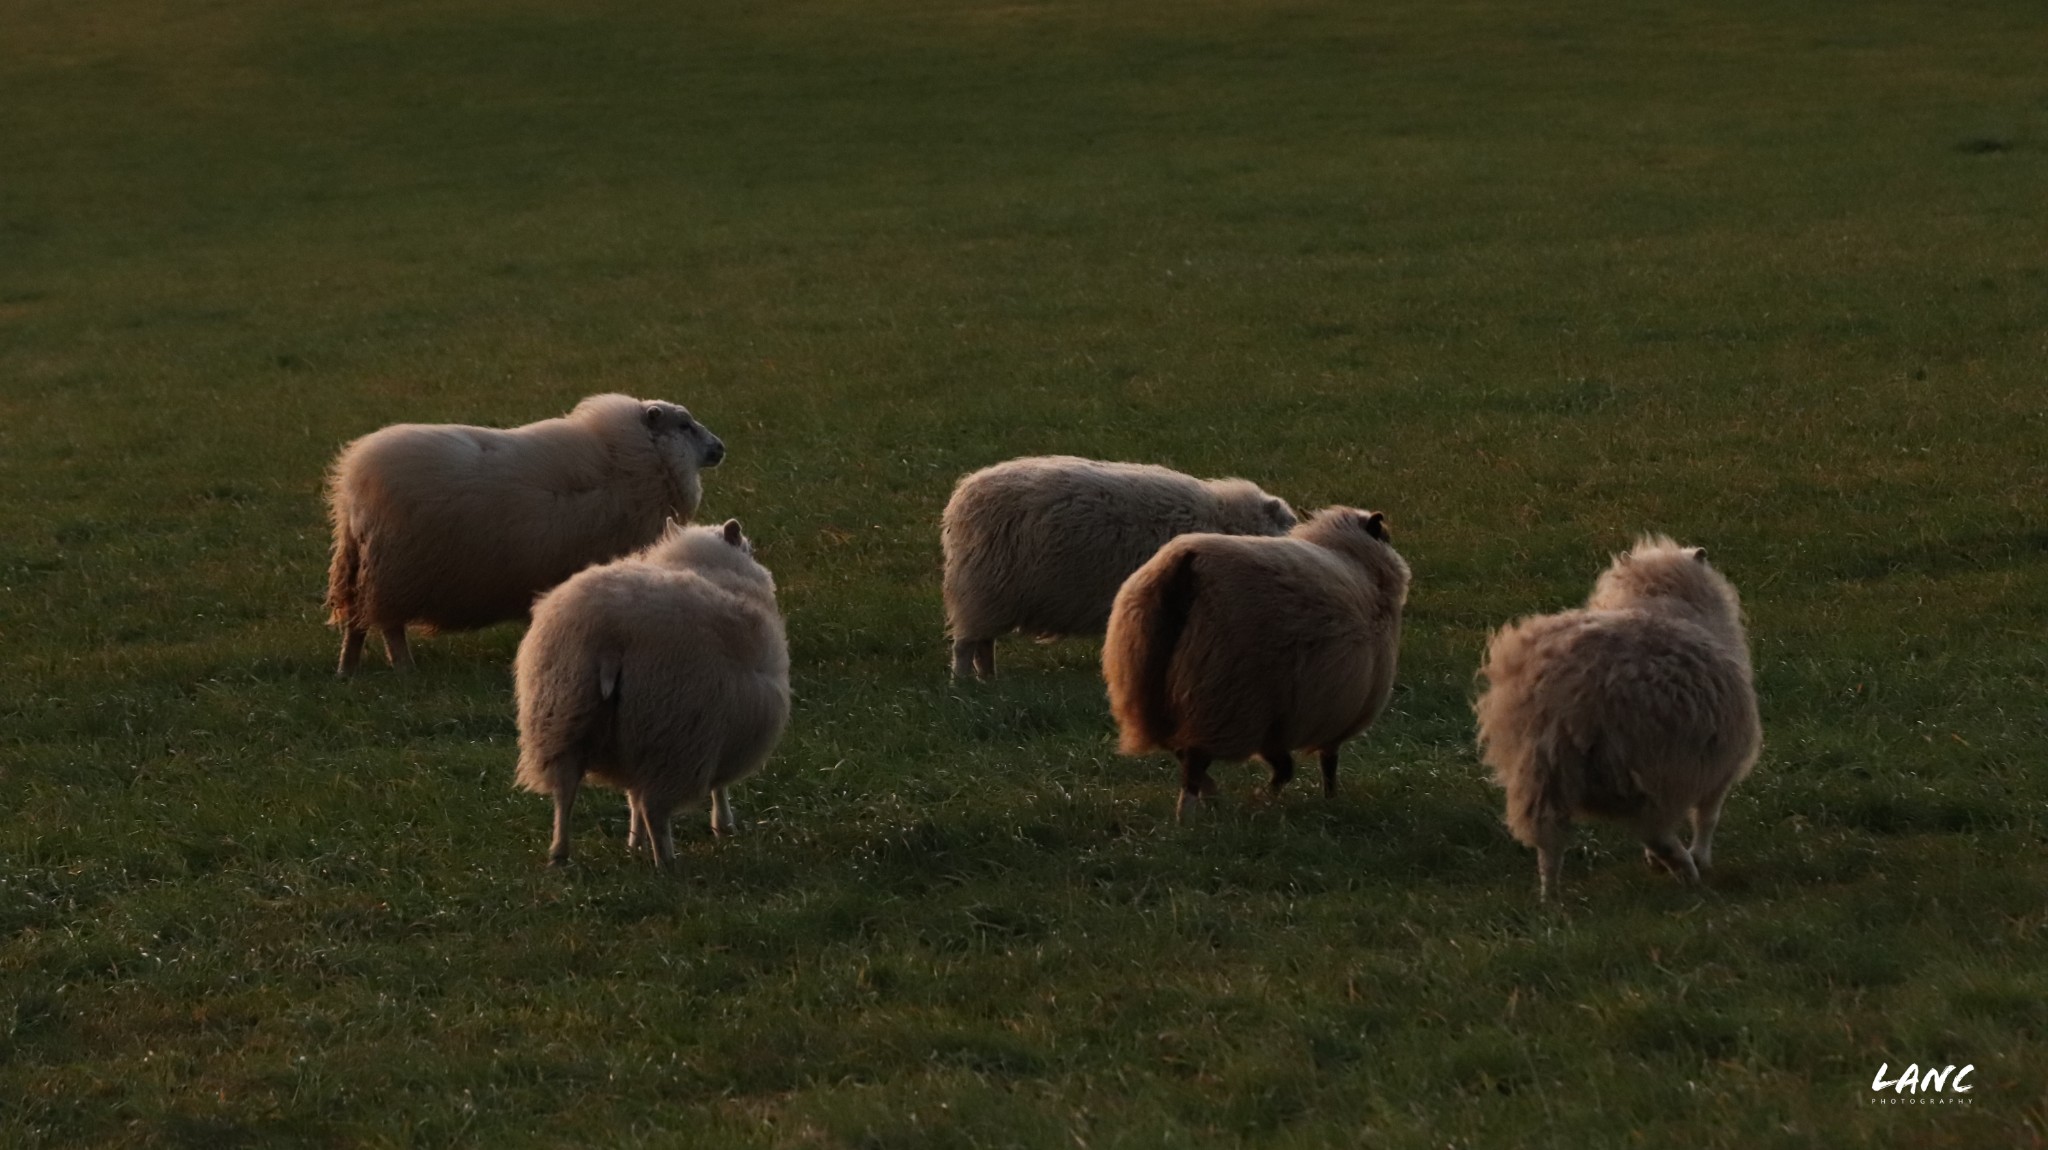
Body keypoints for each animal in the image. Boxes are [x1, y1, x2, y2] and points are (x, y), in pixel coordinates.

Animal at [323, 390, 724, 671]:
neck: (635, 461)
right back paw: (403, 667)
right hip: (395, 571)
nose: (720, 447)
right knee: (389, 625)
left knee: (357, 623)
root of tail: (352, 490)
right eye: (684, 425)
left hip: (363, 568)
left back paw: (347, 670)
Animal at [512, 517, 790, 859]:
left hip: (562, 717)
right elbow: (719, 786)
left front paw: (634, 842)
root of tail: (609, 638)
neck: (701, 563)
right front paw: (724, 826)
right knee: (654, 807)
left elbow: (632, 792)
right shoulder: (719, 724)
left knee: (565, 793)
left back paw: (560, 853)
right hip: (672, 730)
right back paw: (666, 861)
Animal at [937, 452, 1286, 675]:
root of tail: (962, 498)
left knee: (983, 643)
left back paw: (988, 680)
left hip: (990, 597)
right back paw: (963, 684)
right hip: (981, 590)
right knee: (965, 646)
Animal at [1105, 503, 1409, 814]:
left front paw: (1262, 798)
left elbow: (1286, 767)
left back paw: (1211, 793)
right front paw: (1327, 800)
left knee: (1179, 748)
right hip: (1225, 700)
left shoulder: (1275, 721)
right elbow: (1326, 764)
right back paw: (1188, 814)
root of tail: (1188, 563)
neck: (1361, 561)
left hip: (1150, 688)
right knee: (1193, 763)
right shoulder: (1333, 713)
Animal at [1474, 532, 1761, 900]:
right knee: (1654, 828)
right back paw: (1686, 869)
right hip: (1641, 763)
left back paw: (1550, 897)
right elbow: (1708, 816)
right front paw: (1700, 856)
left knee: (1549, 840)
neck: (1660, 601)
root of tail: (1568, 693)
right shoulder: (1718, 760)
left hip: (1541, 769)